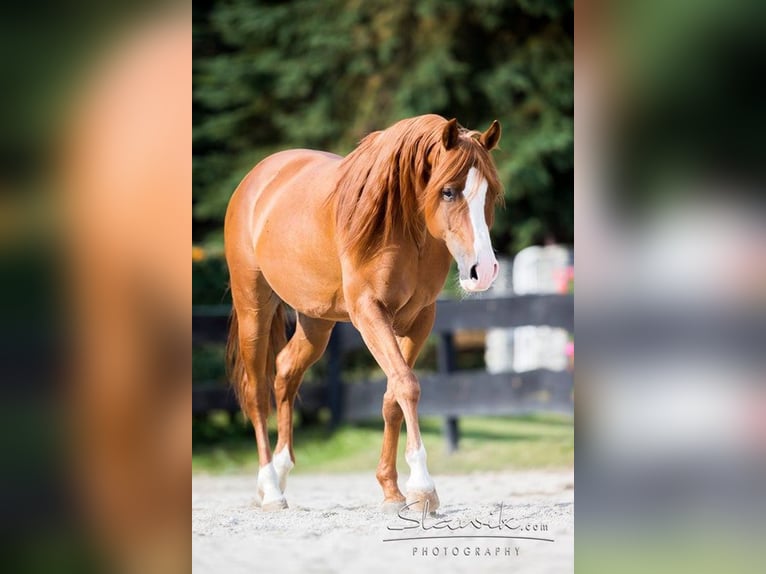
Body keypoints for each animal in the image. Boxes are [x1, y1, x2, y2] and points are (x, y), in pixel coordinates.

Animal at [224, 114, 502, 512]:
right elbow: (407, 385)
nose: (484, 270)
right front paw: (423, 488)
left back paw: (280, 472)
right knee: (257, 393)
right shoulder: (369, 312)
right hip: (253, 308)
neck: (403, 227)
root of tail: (258, 177)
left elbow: (393, 395)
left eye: (490, 193)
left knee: (286, 371)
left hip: (317, 322)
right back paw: (271, 489)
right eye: (448, 192)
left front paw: (392, 490)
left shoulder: (420, 319)